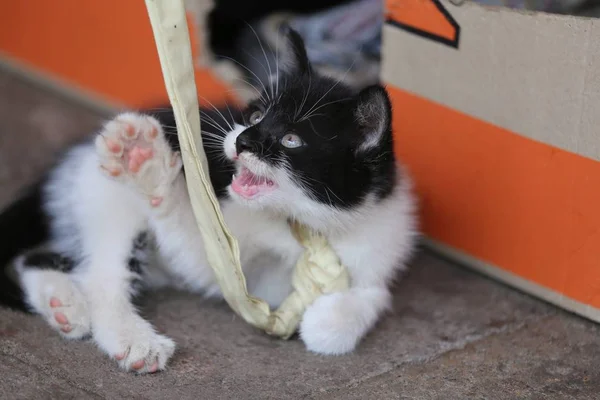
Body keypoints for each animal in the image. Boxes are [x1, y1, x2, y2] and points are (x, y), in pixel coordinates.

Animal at [0, 28, 420, 376]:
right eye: (255, 114)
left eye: (291, 140)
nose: (242, 140)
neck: (300, 224)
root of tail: (73, 156)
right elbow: (197, 254)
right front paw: (151, 169)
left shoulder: (379, 238)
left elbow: (374, 293)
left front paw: (326, 321)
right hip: (105, 194)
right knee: (102, 274)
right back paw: (132, 339)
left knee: (39, 259)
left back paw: (64, 307)